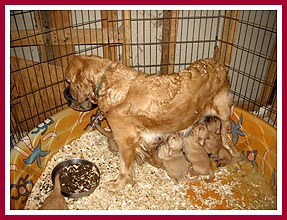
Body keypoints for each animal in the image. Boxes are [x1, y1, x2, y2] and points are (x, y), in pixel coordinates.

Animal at [65, 54, 234, 191]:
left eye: (68, 81)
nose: (68, 94)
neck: (107, 82)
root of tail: (218, 63)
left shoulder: (125, 140)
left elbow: (124, 168)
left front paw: (117, 185)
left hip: (223, 110)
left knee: (224, 131)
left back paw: (228, 149)